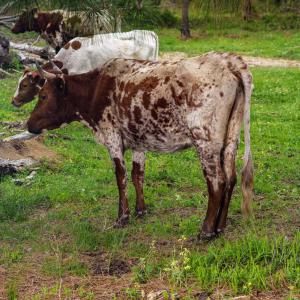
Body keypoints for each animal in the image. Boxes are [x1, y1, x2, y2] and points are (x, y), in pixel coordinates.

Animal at [27, 51, 254, 239]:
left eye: (43, 96)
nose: (29, 124)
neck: (95, 89)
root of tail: (228, 61)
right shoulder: (139, 142)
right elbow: (138, 175)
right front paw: (140, 211)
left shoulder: (112, 137)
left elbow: (121, 177)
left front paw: (122, 217)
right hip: (231, 138)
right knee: (231, 178)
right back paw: (220, 227)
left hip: (205, 139)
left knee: (217, 182)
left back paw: (206, 231)